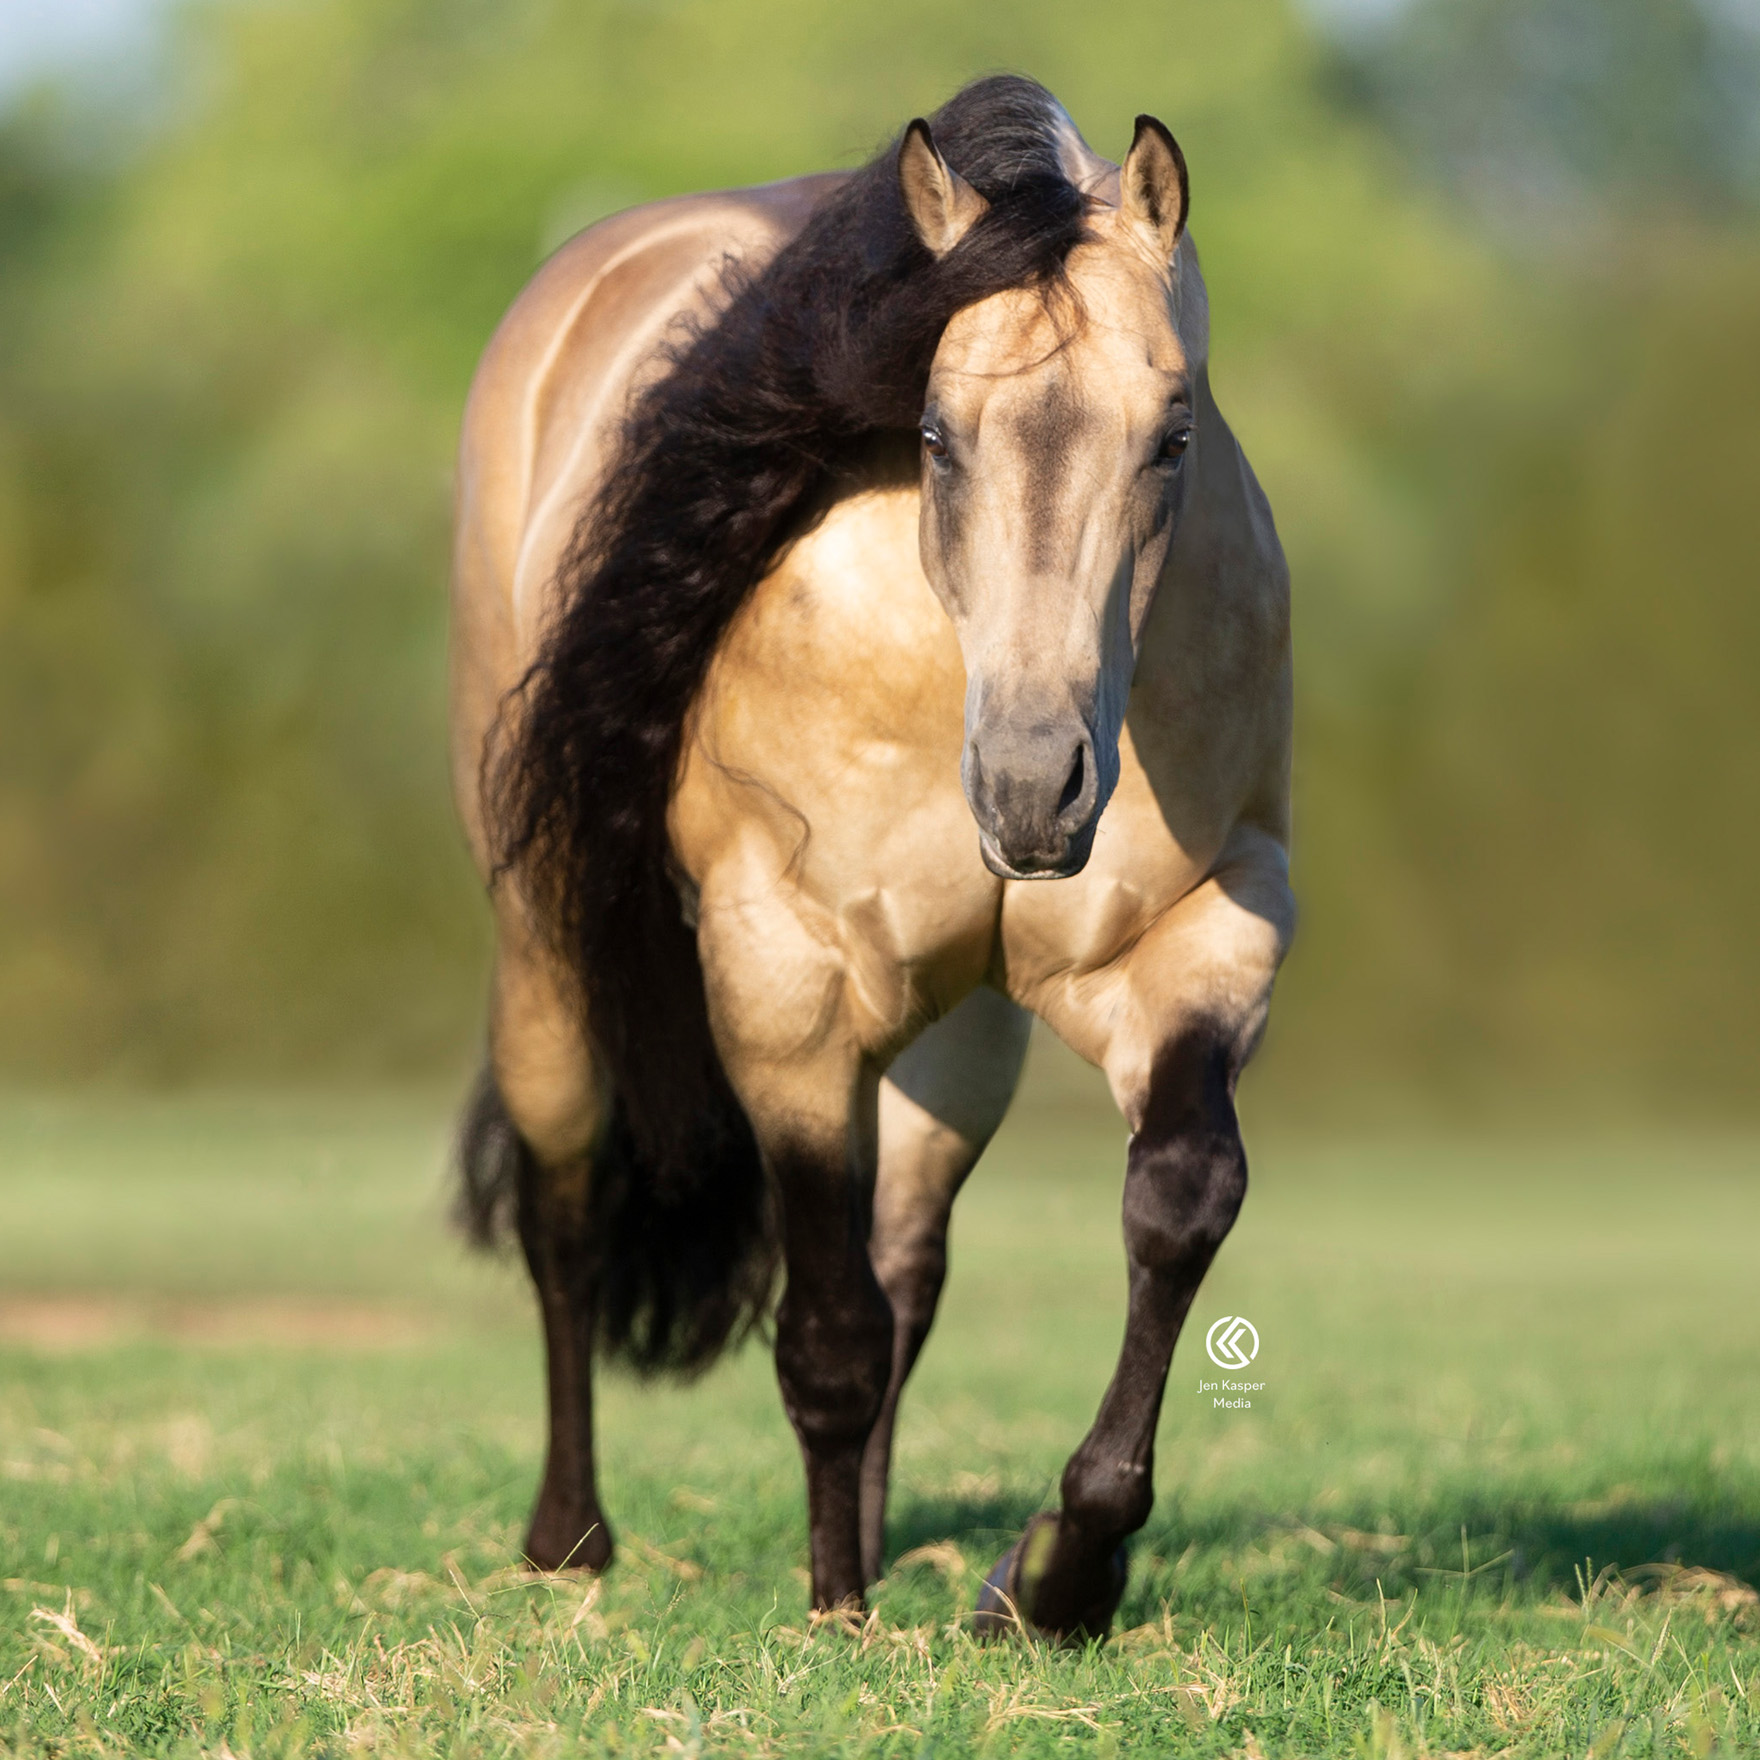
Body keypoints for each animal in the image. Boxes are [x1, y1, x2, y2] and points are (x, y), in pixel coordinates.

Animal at [449, 74, 1293, 1641]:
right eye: (935, 434)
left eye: (1171, 434)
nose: (1031, 788)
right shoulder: (783, 990)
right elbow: (825, 1333)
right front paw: (834, 1610)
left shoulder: (1206, 936)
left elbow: (1178, 1196)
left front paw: (1055, 1575)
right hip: (546, 940)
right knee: (568, 1204)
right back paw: (572, 1539)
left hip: (956, 1040)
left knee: (906, 1255)